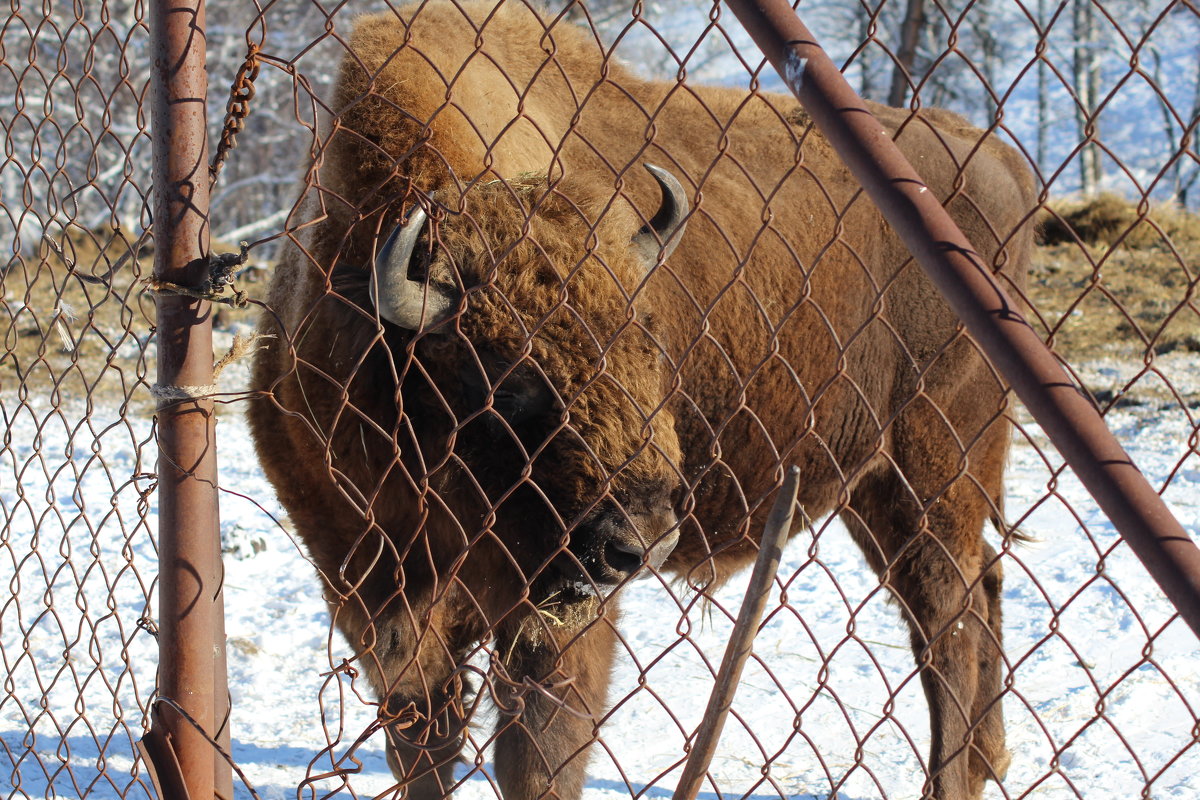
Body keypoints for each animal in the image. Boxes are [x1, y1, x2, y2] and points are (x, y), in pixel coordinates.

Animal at [248, 3, 1036, 796]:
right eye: (502, 379)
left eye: (648, 341)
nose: (643, 539)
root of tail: (999, 160)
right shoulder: (371, 591)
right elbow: (424, 741)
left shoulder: (557, 611)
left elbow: (540, 750)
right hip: (875, 486)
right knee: (979, 587)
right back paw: (990, 760)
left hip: (934, 469)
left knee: (948, 615)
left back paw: (956, 776)